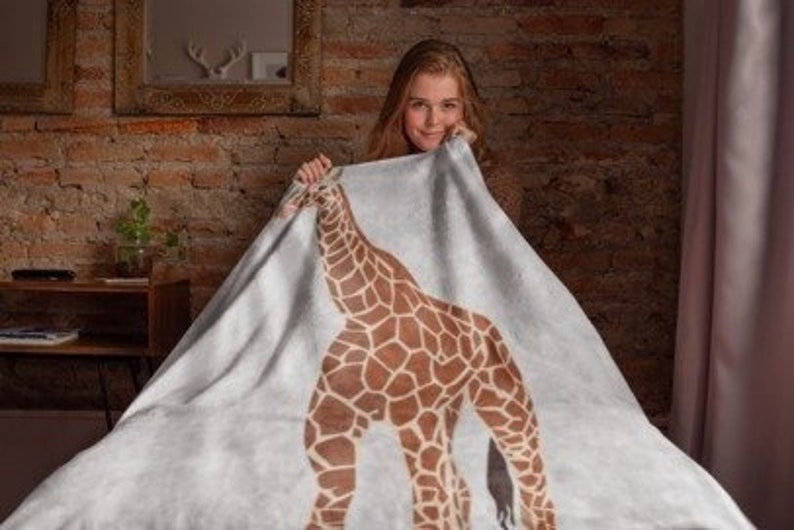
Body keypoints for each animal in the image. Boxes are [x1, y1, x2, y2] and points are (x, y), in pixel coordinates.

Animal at [279, 169, 556, 529]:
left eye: (322, 187)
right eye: (298, 186)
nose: (285, 210)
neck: (364, 311)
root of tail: (492, 329)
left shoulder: (413, 413)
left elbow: (429, 502)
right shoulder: (335, 416)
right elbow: (334, 497)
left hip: (501, 398)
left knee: (529, 481)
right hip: (449, 409)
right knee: (460, 486)